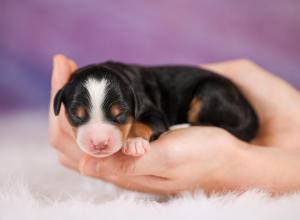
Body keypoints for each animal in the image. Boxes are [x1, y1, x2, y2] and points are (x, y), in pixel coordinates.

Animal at [53, 62, 258, 157]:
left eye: (120, 114)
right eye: (76, 115)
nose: (99, 143)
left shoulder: (154, 112)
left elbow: (143, 123)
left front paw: (134, 142)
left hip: (210, 91)